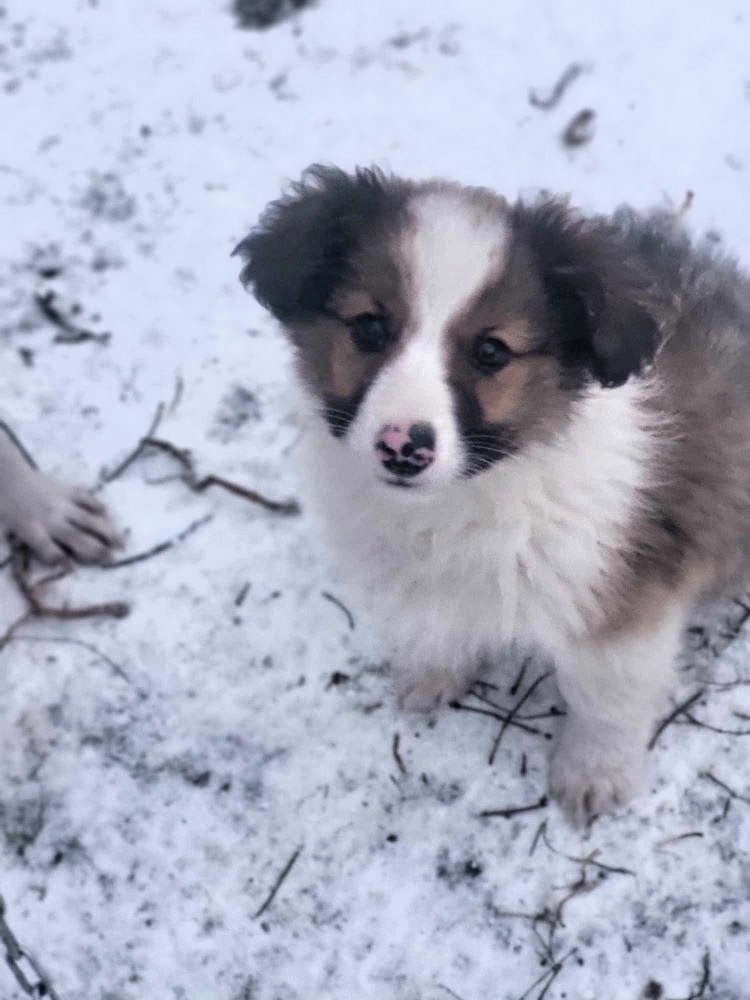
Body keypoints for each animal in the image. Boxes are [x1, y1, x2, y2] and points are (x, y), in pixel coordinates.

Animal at [238, 166, 750, 820]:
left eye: (491, 351)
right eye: (370, 328)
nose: (403, 447)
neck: (480, 488)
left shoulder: (624, 595)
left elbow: (605, 697)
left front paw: (594, 773)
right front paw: (434, 672)